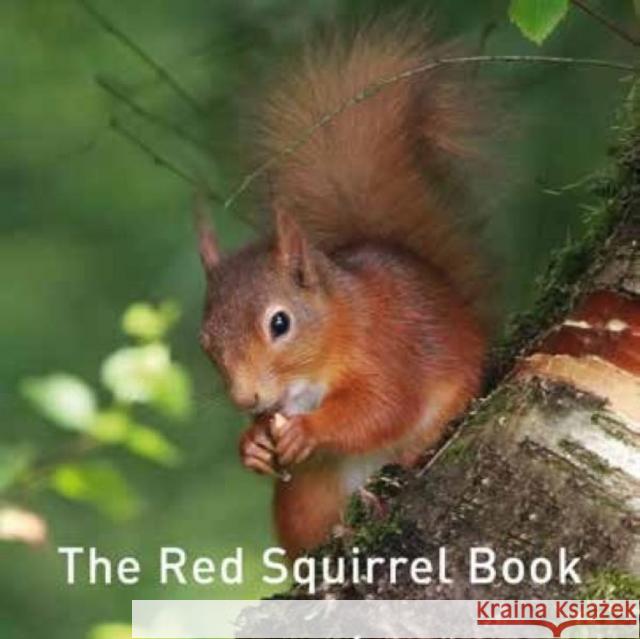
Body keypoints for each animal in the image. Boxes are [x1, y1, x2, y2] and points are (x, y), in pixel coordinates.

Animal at [197, 23, 492, 559]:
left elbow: (383, 407)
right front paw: (251, 444)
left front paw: (308, 430)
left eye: (280, 323)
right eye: (205, 342)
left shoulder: (389, 348)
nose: (246, 399)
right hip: (307, 496)